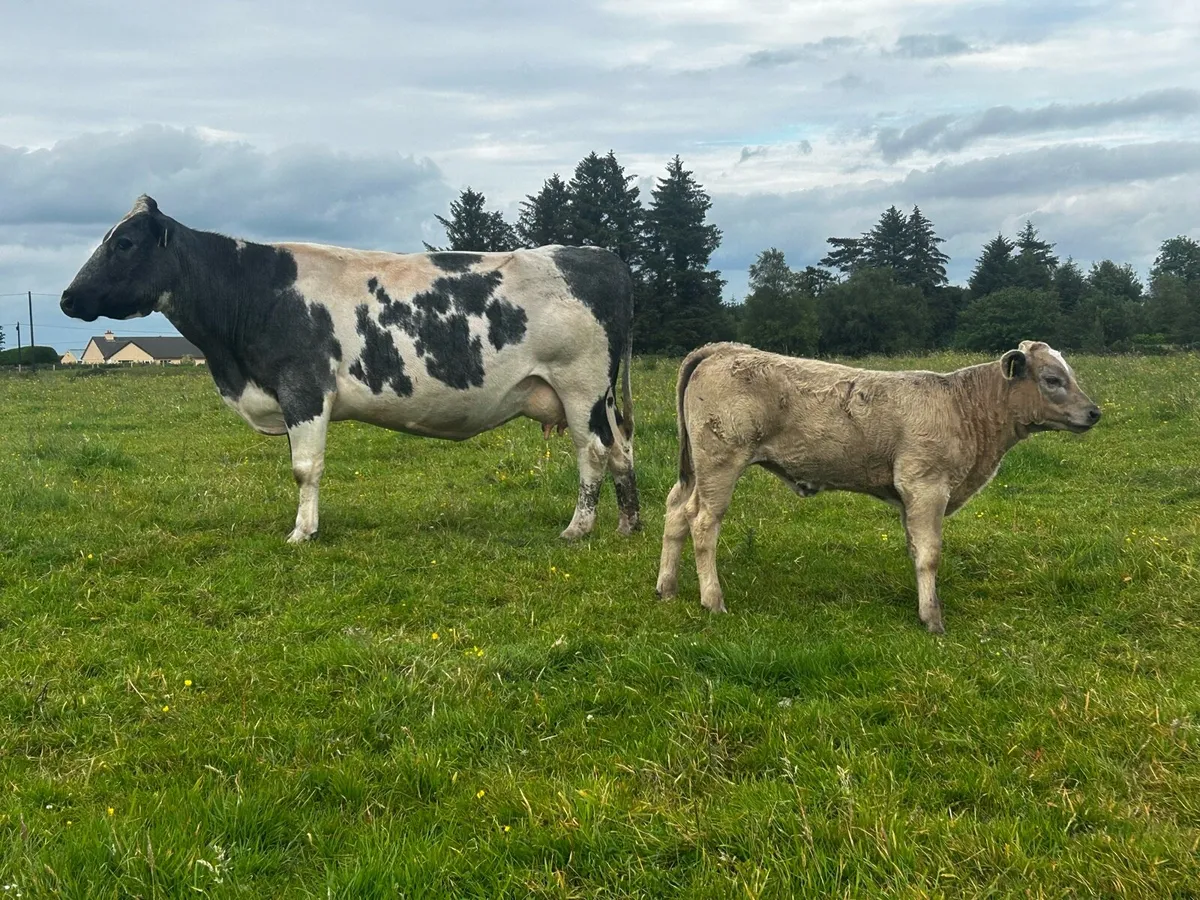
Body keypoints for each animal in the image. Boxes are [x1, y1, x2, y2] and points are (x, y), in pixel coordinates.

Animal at [61, 195, 640, 543]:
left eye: (124, 242)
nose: (67, 298)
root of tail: (600, 256)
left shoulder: (304, 388)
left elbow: (305, 467)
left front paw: (303, 532)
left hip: (580, 384)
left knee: (592, 452)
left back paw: (578, 529)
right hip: (602, 395)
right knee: (622, 450)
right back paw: (627, 524)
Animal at [655, 341, 1101, 633]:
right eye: (1052, 379)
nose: (1095, 412)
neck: (963, 407)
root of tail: (722, 349)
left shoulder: (911, 496)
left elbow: (915, 550)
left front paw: (923, 604)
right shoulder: (926, 485)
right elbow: (930, 555)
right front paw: (933, 619)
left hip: (695, 468)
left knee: (675, 510)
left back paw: (667, 588)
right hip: (720, 461)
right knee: (702, 522)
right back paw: (712, 600)